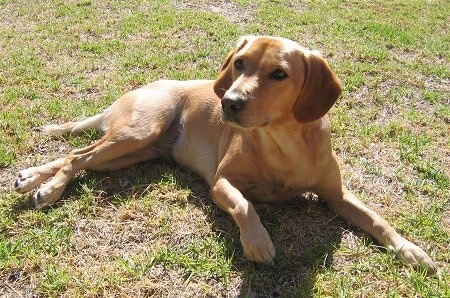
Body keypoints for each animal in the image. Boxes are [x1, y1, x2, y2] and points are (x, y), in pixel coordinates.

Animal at [14, 35, 436, 274]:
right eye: (239, 63)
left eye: (279, 74)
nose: (229, 102)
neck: (284, 144)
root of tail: (139, 89)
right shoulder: (221, 183)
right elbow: (245, 205)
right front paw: (258, 242)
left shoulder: (338, 194)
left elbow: (378, 219)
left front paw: (411, 251)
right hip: (137, 132)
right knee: (75, 154)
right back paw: (48, 189)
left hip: (133, 151)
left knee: (77, 156)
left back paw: (32, 178)